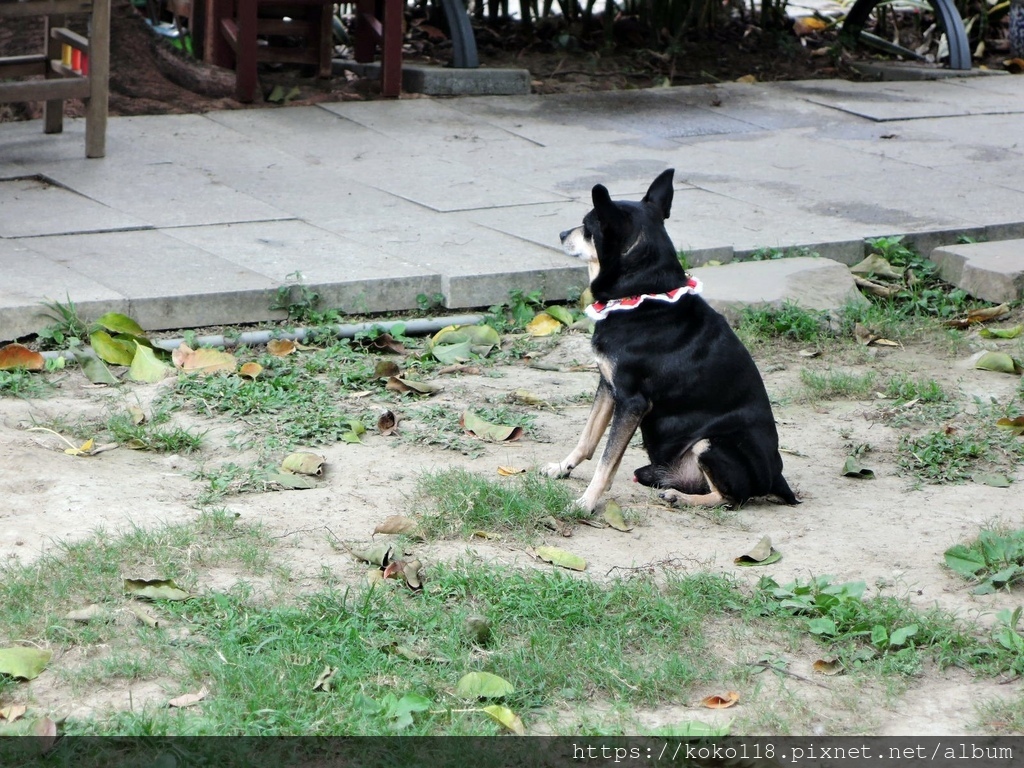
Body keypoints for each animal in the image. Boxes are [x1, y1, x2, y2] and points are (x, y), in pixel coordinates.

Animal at [544, 171, 798, 514]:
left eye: (587, 226)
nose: (560, 234)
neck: (643, 297)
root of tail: (777, 479)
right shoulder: (608, 387)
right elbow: (588, 438)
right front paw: (562, 468)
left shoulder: (632, 402)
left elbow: (607, 460)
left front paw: (586, 502)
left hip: (711, 444)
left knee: (731, 498)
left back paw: (682, 497)